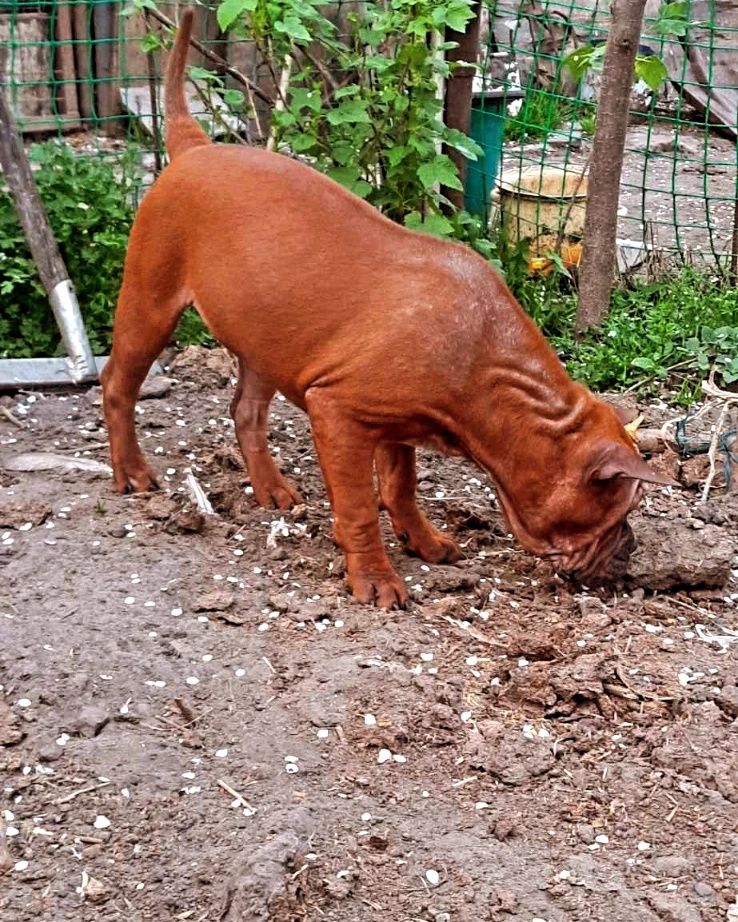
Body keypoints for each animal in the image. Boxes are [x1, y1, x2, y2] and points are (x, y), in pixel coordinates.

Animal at [102, 14, 668, 608]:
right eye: (619, 512)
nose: (631, 551)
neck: (490, 374)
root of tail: (194, 148)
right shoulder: (339, 414)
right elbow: (357, 507)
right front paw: (375, 577)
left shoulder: (396, 427)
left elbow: (401, 487)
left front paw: (422, 540)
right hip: (150, 302)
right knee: (118, 383)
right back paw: (132, 472)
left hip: (267, 338)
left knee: (247, 412)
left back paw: (272, 488)